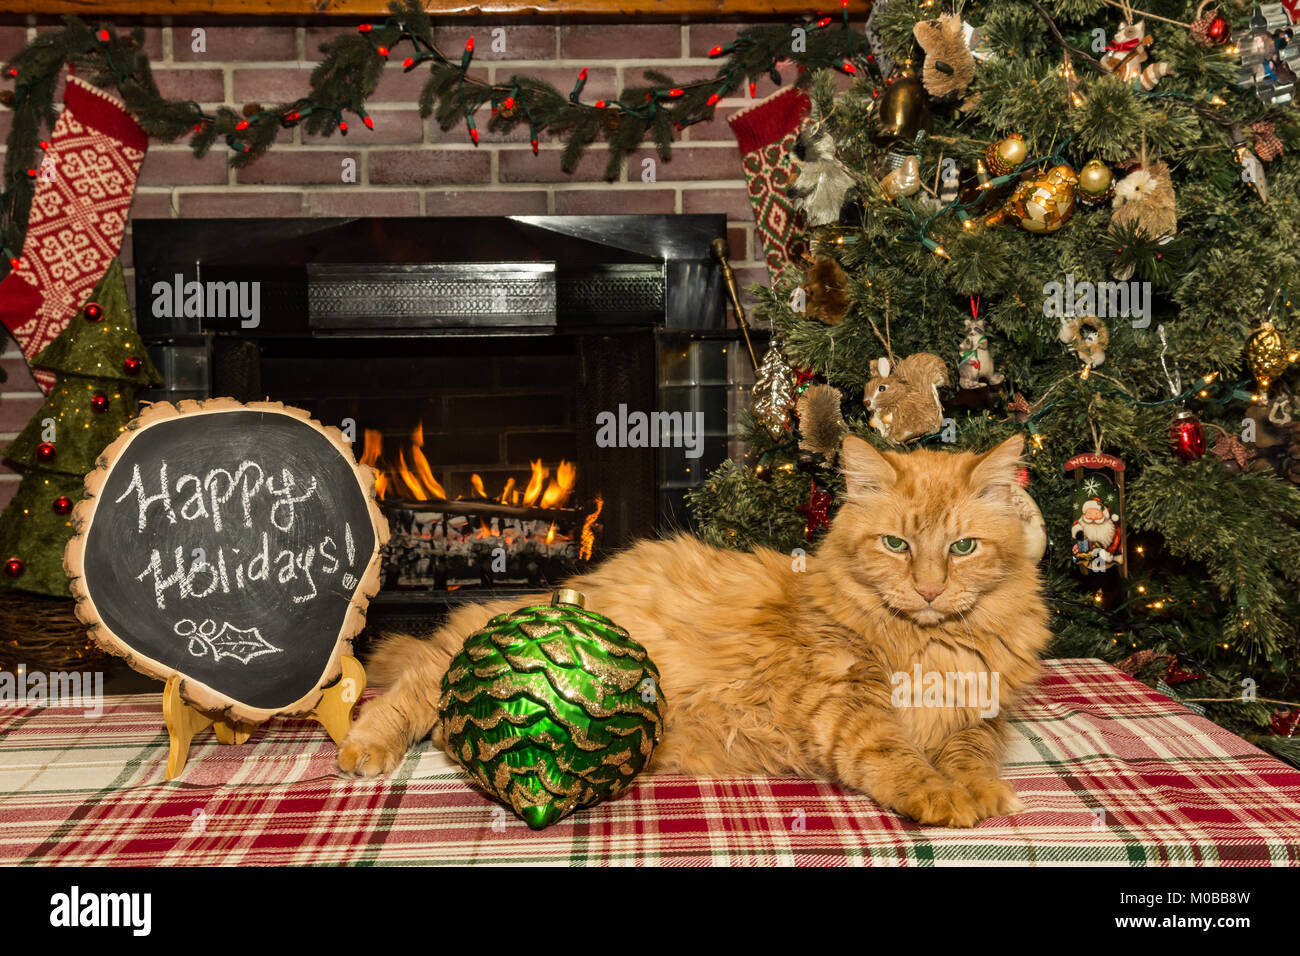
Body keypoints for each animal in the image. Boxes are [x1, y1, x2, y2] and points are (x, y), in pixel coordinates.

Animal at [340, 434, 1050, 832]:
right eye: (896, 545)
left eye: (962, 548)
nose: (929, 590)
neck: (925, 644)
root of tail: (565, 588)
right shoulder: (844, 704)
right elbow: (898, 758)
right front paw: (943, 796)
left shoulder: (982, 716)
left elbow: (971, 752)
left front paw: (980, 790)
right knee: (420, 678)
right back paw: (363, 746)